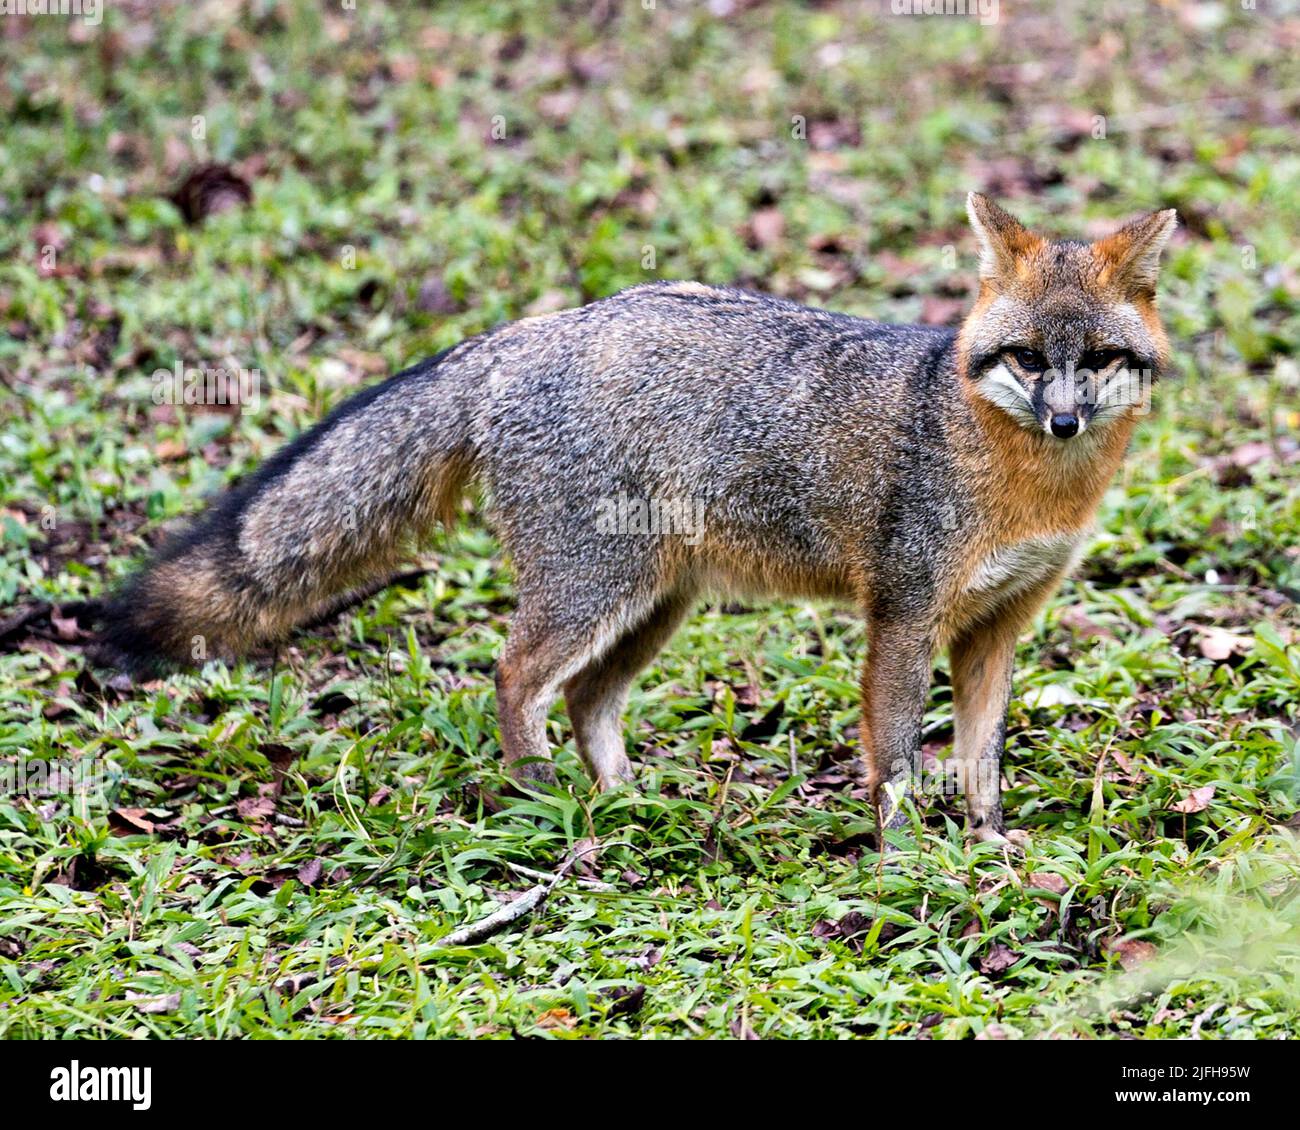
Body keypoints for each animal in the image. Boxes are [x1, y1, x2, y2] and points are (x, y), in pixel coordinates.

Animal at [99, 194, 1178, 849]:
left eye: (1096, 361)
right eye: (1029, 358)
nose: (1065, 418)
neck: (1029, 479)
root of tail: (529, 331)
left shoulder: (997, 625)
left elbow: (980, 757)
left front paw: (989, 843)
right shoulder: (905, 614)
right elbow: (900, 758)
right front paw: (905, 854)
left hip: (655, 604)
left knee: (585, 698)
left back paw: (621, 798)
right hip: (595, 590)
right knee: (515, 673)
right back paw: (535, 791)